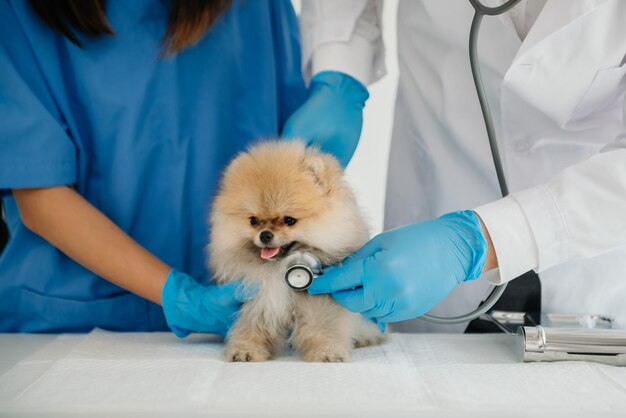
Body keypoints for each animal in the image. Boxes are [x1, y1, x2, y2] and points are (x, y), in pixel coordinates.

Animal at [210, 141, 382, 362]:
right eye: (253, 221)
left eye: (289, 220)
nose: (265, 235)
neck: (279, 269)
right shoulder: (259, 296)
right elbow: (252, 324)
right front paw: (246, 349)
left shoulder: (319, 298)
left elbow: (322, 324)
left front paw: (327, 352)